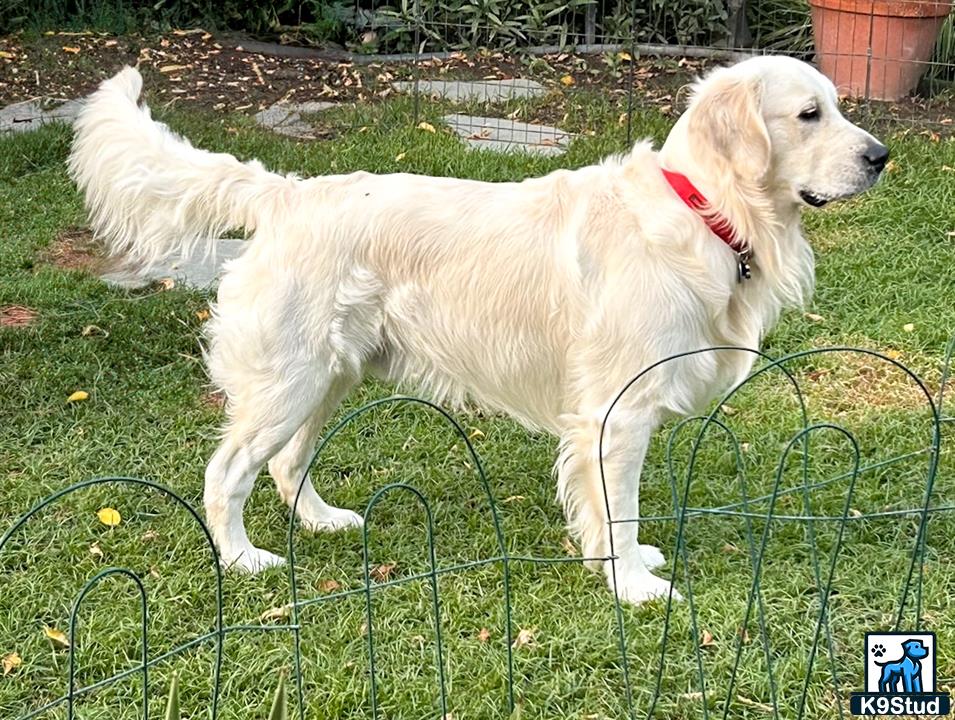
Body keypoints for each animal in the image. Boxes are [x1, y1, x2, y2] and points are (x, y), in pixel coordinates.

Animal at [69, 57, 888, 600]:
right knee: (228, 472)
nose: (881, 156)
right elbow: (618, 508)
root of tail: (287, 194)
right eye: (808, 114)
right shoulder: (617, 411)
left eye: (837, 106)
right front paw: (631, 585)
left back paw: (325, 521)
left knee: (287, 463)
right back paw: (243, 560)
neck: (703, 208)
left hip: (328, 375)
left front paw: (628, 564)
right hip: (289, 377)